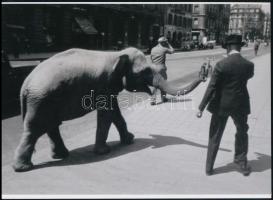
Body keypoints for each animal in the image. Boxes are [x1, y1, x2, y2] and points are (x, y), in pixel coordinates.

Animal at [12, 47, 208, 172]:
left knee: (52, 125)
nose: (204, 71)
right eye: (145, 72)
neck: (116, 54)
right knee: (36, 129)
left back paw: (60, 155)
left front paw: (129, 140)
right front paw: (104, 151)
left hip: (46, 100)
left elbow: (115, 113)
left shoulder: (109, 87)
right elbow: (106, 114)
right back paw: (22, 168)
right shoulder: (104, 84)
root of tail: (25, 84)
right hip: (41, 100)